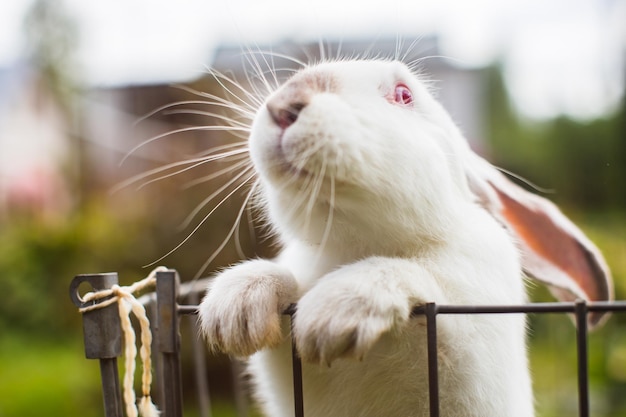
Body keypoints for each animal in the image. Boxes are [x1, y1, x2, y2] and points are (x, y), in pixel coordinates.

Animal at [197, 58, 608, 416]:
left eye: (403, 94)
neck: (351, 245)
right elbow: (280, 279)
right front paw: (234, 311)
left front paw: (333, 313)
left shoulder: (469, 349)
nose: (284, 104)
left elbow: (414, 274)